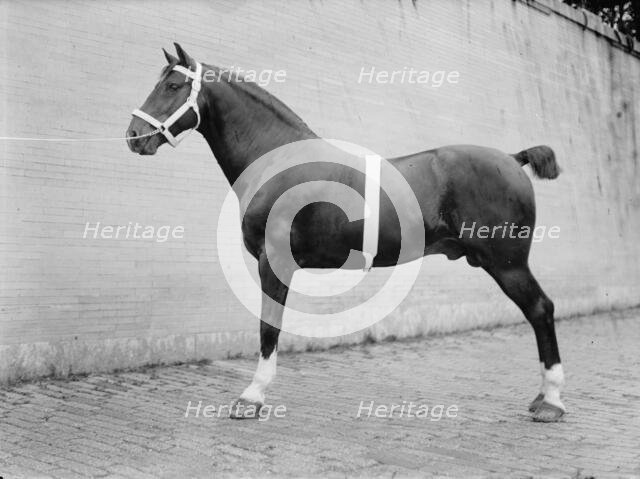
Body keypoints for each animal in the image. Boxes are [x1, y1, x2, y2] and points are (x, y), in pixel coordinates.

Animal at [126, 43, 565, 423]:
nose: (133, 135)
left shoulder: (274, 263)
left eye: (172, 85)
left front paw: (251, 397)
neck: (277, 160)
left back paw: (552, 401)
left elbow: (269, 327)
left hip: (507, 263)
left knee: (541, 309)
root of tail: (511, 159)